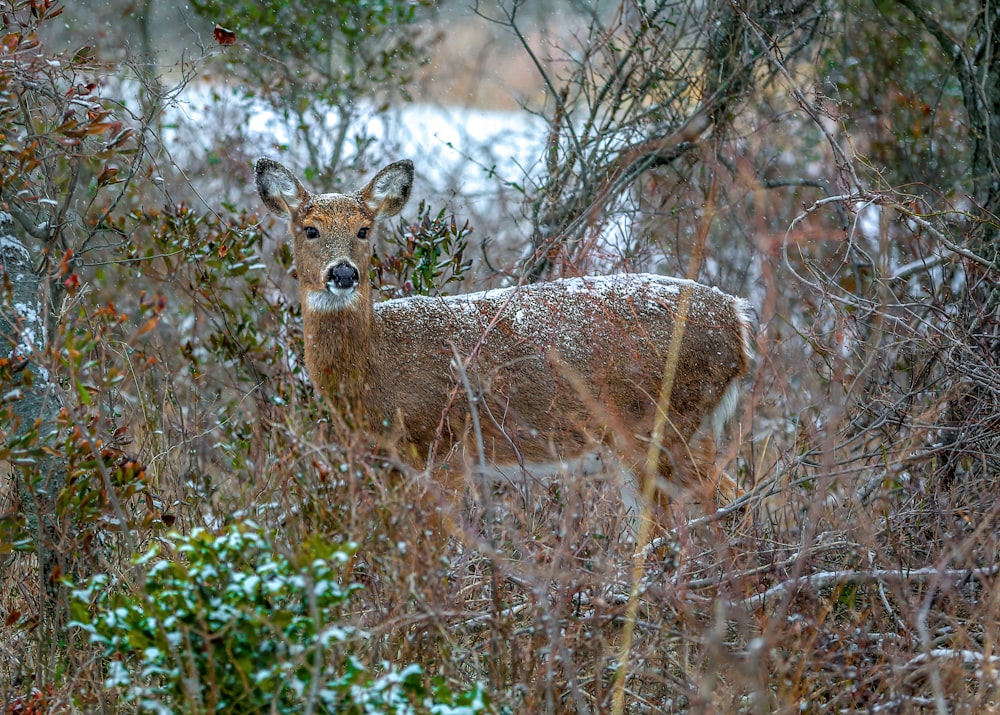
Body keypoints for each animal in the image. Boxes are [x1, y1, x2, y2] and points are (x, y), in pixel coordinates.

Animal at [254, 158, 752, 524]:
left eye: (363, 230)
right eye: (310, 229)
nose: (343, 273)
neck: (379, 368)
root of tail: (738, 317)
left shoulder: (446, 448)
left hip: (662, 423)